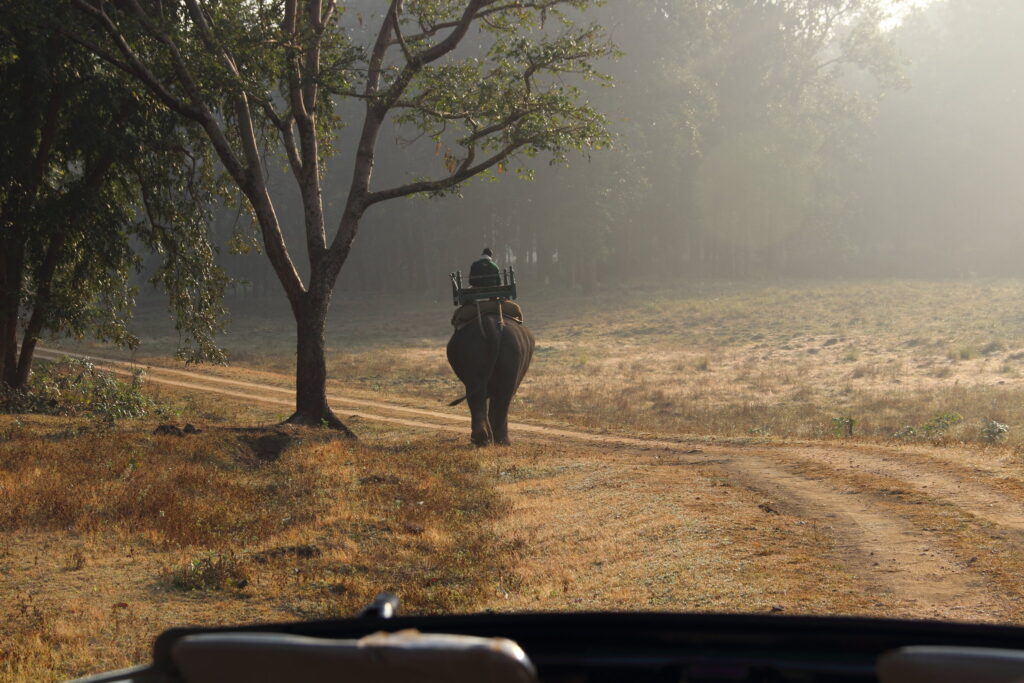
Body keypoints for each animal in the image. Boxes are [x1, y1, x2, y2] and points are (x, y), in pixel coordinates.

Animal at [448, 311, 536, 448]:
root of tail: (492, 327)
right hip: (509, 356)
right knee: (502, 396)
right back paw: (498, 441)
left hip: (476, 354)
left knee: (479, 395)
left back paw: (484, 440)